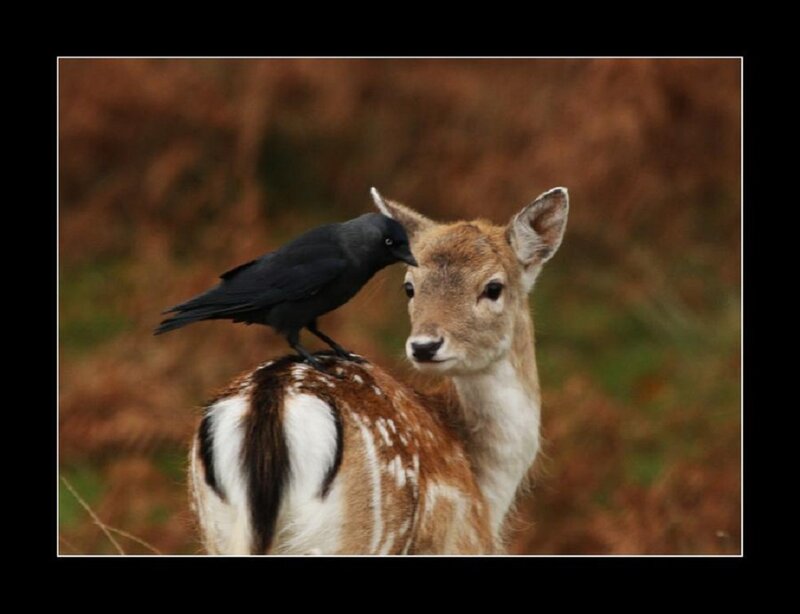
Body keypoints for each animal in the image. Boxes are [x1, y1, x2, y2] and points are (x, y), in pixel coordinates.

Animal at [188, 186, 569, 554]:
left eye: (493, 287)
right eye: (409, 286)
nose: (425, 346)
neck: (487, 486)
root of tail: (270, 405)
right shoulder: (461, 543)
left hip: (219, 530)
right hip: (358, 534)